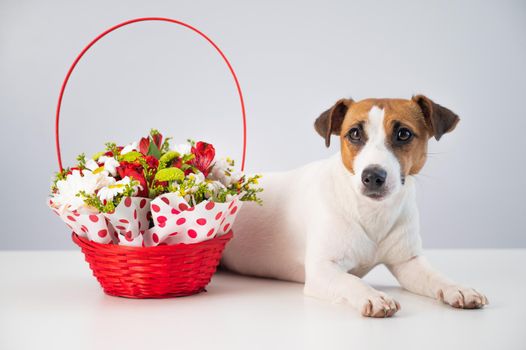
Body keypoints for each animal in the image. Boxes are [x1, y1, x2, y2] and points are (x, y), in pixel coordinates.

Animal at [221, 95, 488, 318]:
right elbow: (351, 281)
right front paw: (372, 295)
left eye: (403, 134)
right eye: (355, 133)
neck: (372, 213)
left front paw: (457, 288)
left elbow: (436, 276)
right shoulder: (321, 269)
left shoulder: (408, 263)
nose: (373, 176)